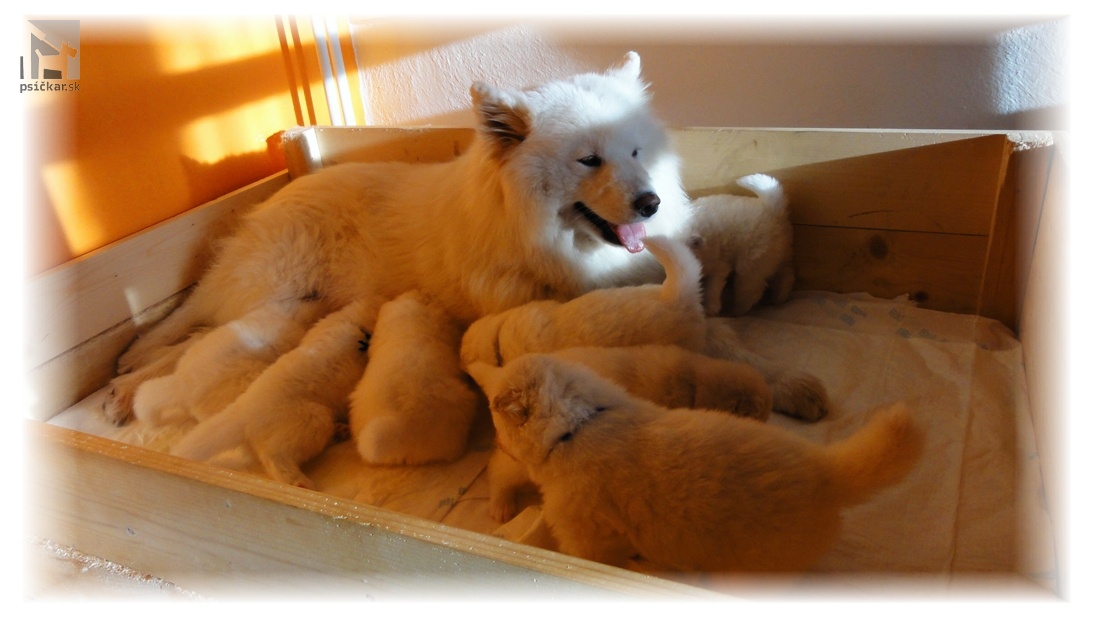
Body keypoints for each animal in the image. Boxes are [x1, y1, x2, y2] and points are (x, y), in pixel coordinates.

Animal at [691, 175, 796, 315]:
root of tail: (773, 208)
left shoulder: (717, 264)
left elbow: (711, 287)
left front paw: (709, 309)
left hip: (751, 263)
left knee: (749, 290)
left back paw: (736, 311)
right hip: (778, 254)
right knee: (786, 275)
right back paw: (779, 297)